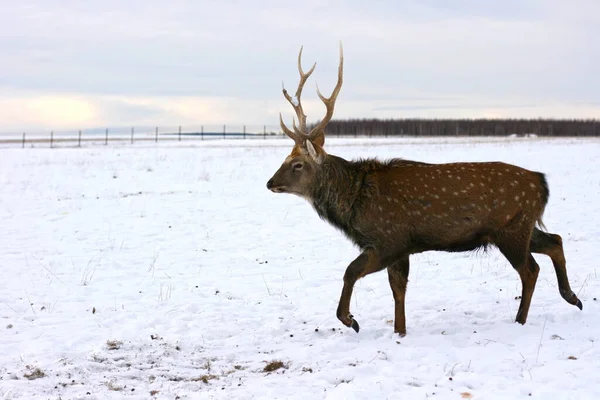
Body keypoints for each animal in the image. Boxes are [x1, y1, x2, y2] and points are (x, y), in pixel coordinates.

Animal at [266, 42, 580, 336]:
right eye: (286, 158)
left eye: (297, 164)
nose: (270, 183)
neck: (354, 204)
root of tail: (542, 183)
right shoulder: (400, 247)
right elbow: (398, 289)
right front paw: (399, 331)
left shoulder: (388, 238)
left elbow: (351, 271)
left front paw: (351, 320)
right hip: (519, 226)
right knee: (555, 240)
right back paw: (573, 297)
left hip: (511, 229)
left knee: (530, 269)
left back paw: (521, 319)